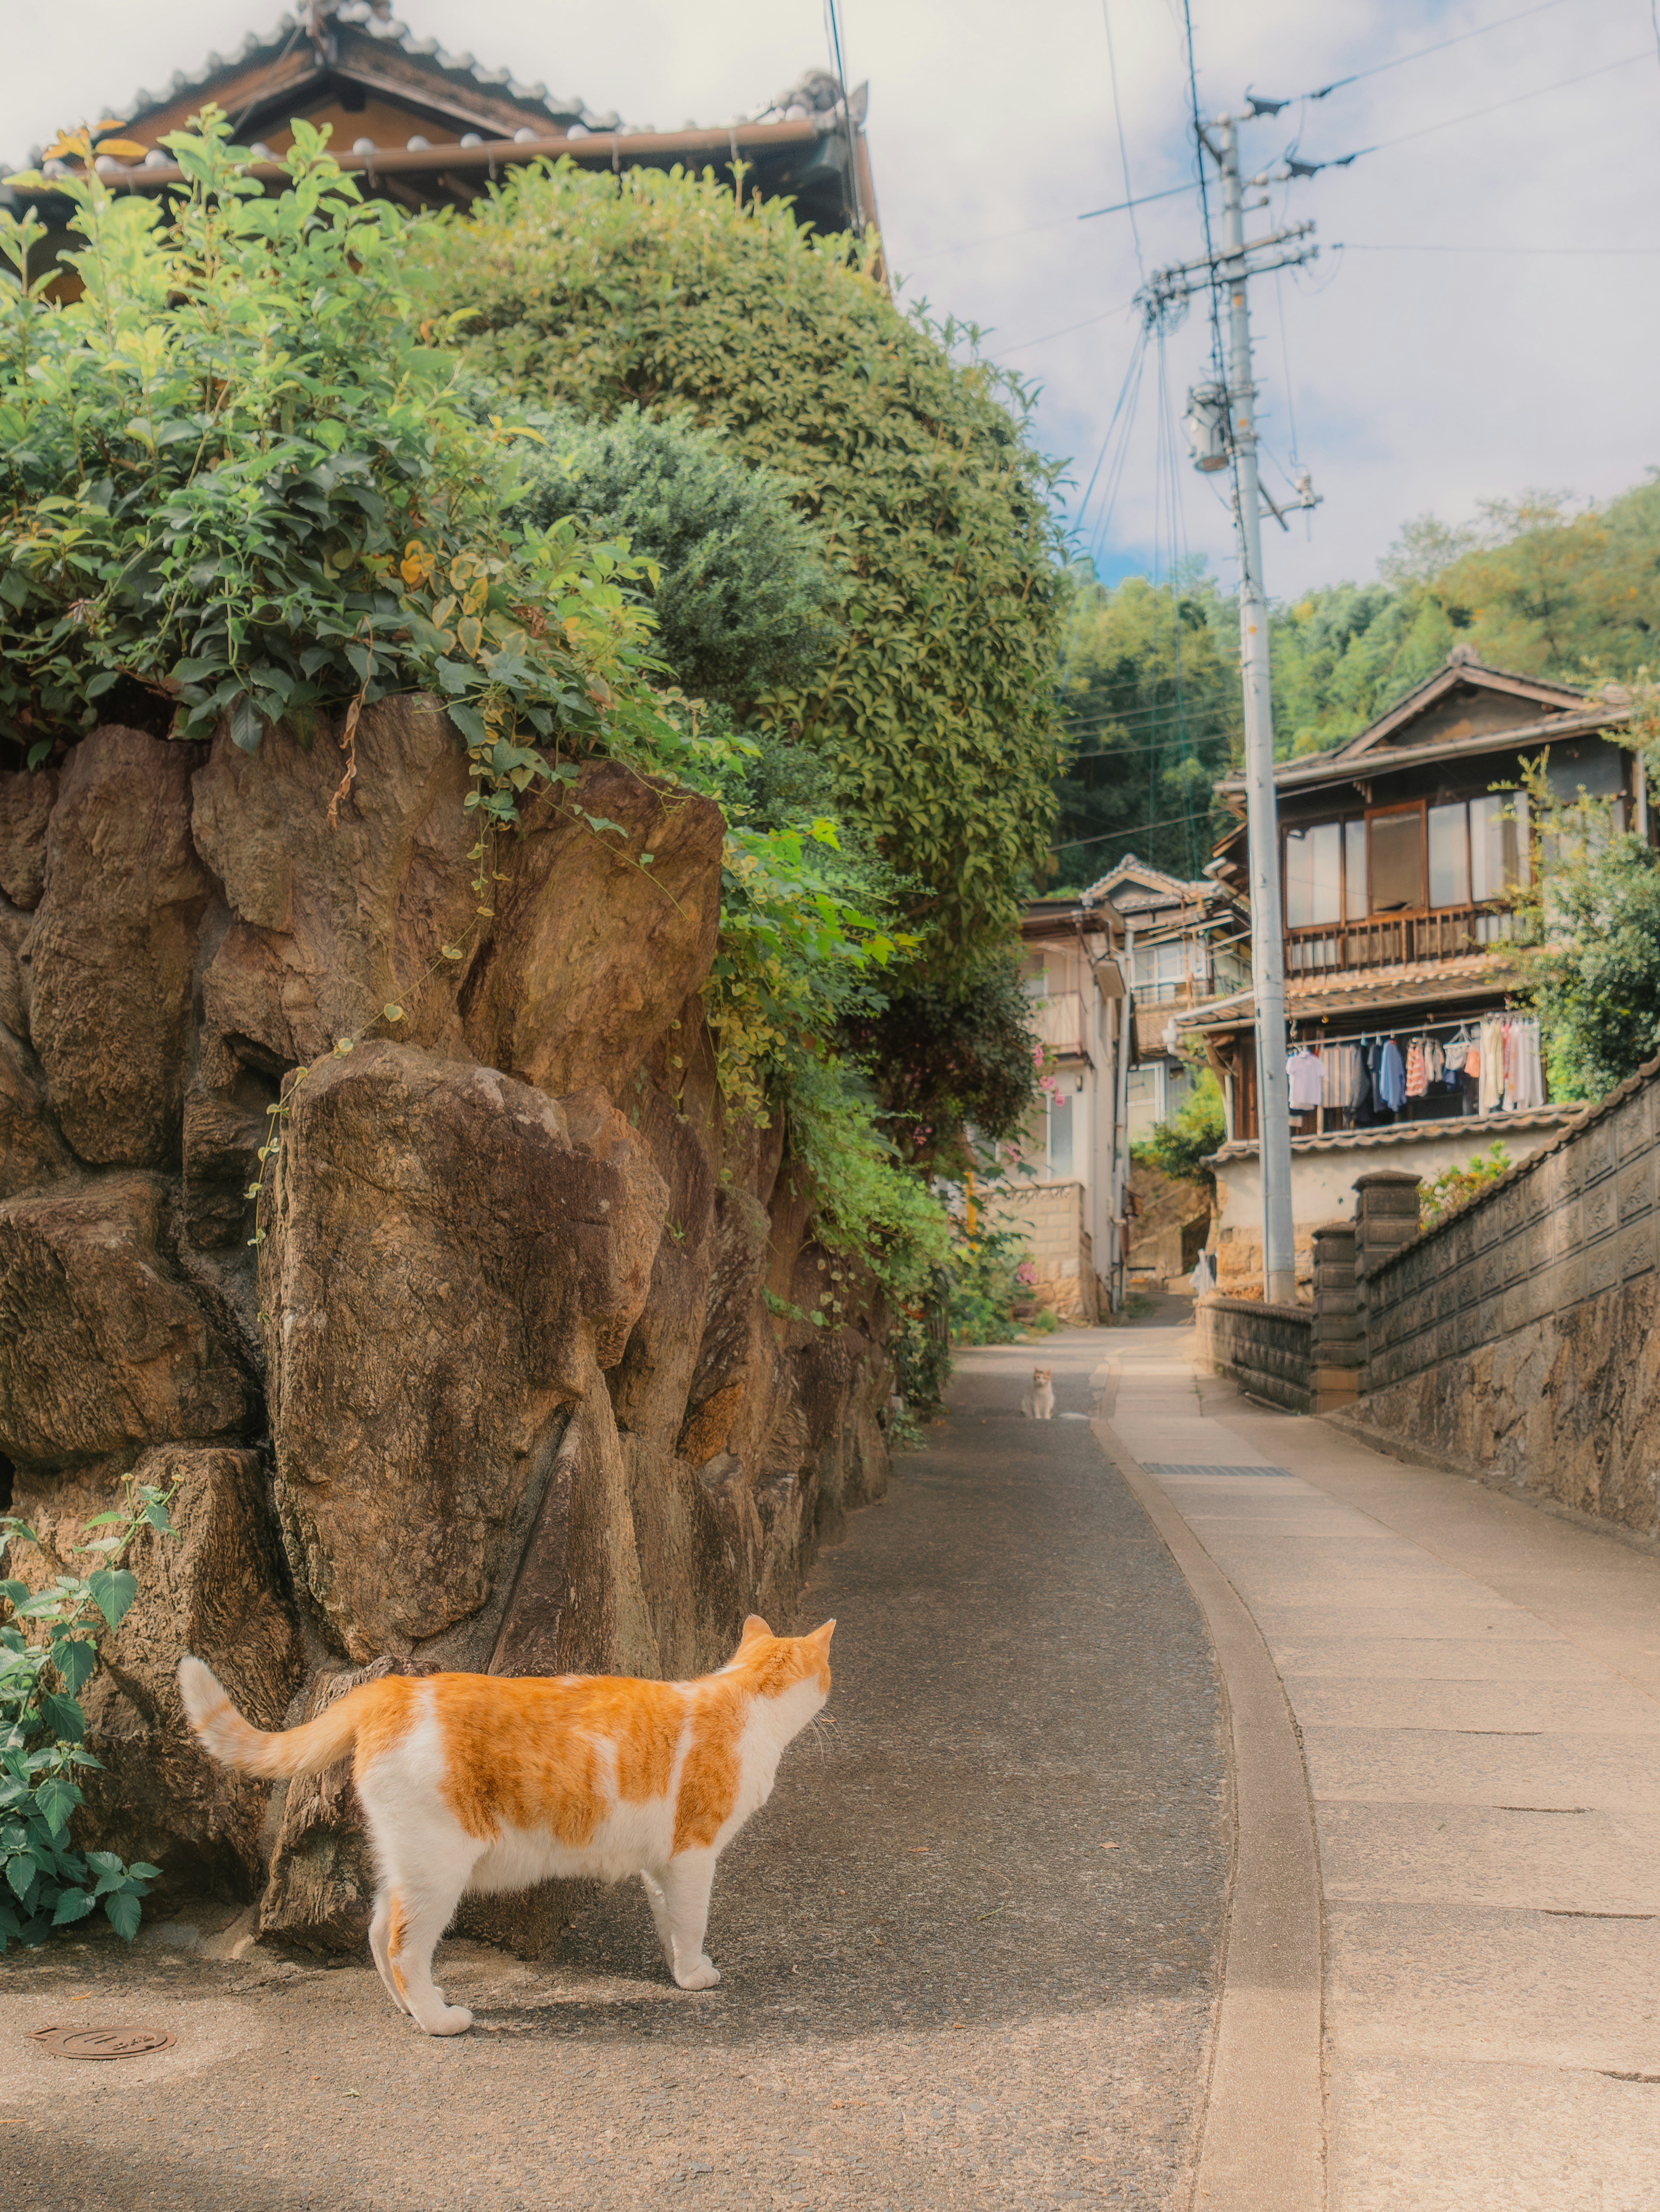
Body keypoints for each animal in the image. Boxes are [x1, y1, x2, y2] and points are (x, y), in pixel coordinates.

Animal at [176, 1610, 836, 2035]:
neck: (745, 1697)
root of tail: (391, 1689)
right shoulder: (695, 1855)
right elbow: (694, 1920)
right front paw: (699, 1976)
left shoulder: (663, 1864)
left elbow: (672, 1924)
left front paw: (679, 1972)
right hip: (439, 1870)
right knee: (403, 1946)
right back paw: (438, 2022)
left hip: (405, 1862)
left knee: (376, 1930)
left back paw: (410, 2010)